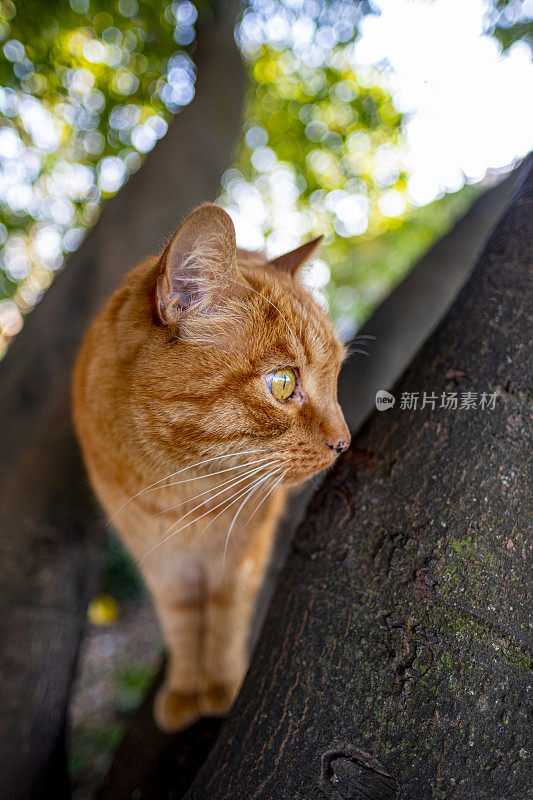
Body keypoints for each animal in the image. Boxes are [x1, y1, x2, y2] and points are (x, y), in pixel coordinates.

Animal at [74, 205, 350, 732]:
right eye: (283, 383)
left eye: (336, 377)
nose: (344, 442)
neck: (181, 495)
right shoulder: (161, 567)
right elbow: (181, 624)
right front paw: (185, 690)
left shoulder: (239, 559)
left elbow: (224, 619)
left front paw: (220, 686)